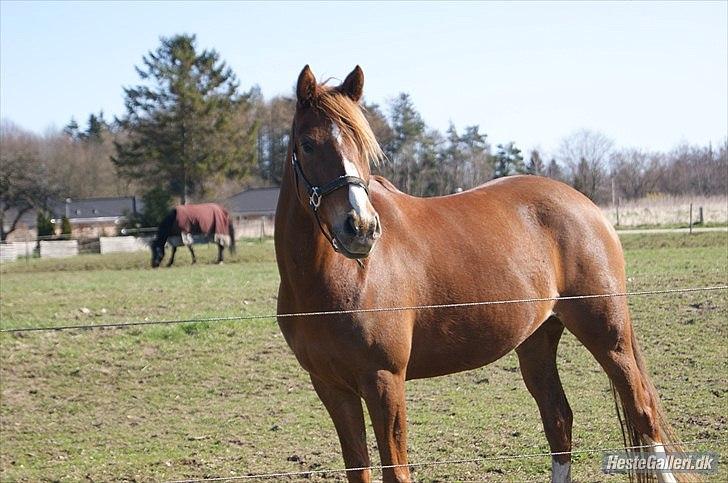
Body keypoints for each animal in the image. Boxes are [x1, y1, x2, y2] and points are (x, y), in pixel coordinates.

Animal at [274, 65, 688, 483]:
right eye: (307, 144)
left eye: (361, 145)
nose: (360, 227)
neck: (338, 279)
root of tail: (587, 206)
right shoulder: (331, 387)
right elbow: (358, 468)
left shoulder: (383, 380)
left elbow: (396, 470)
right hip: (538, 339)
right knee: (559, 420)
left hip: (606, 332)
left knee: (642, 411)